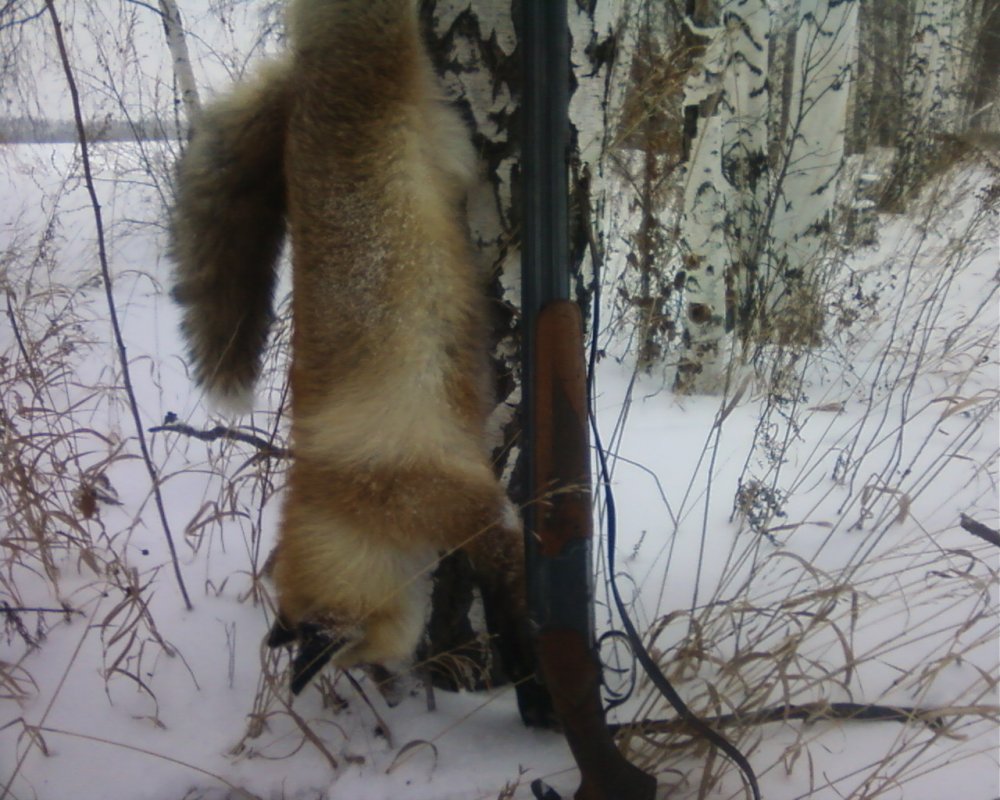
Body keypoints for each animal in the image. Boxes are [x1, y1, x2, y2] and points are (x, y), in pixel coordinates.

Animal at [169, 0, 550, 724]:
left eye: (354, 656)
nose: (392, 690)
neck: (358, 503)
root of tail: (304, 78)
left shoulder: (472, 507)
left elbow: (512, 596)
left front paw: (534, 683)